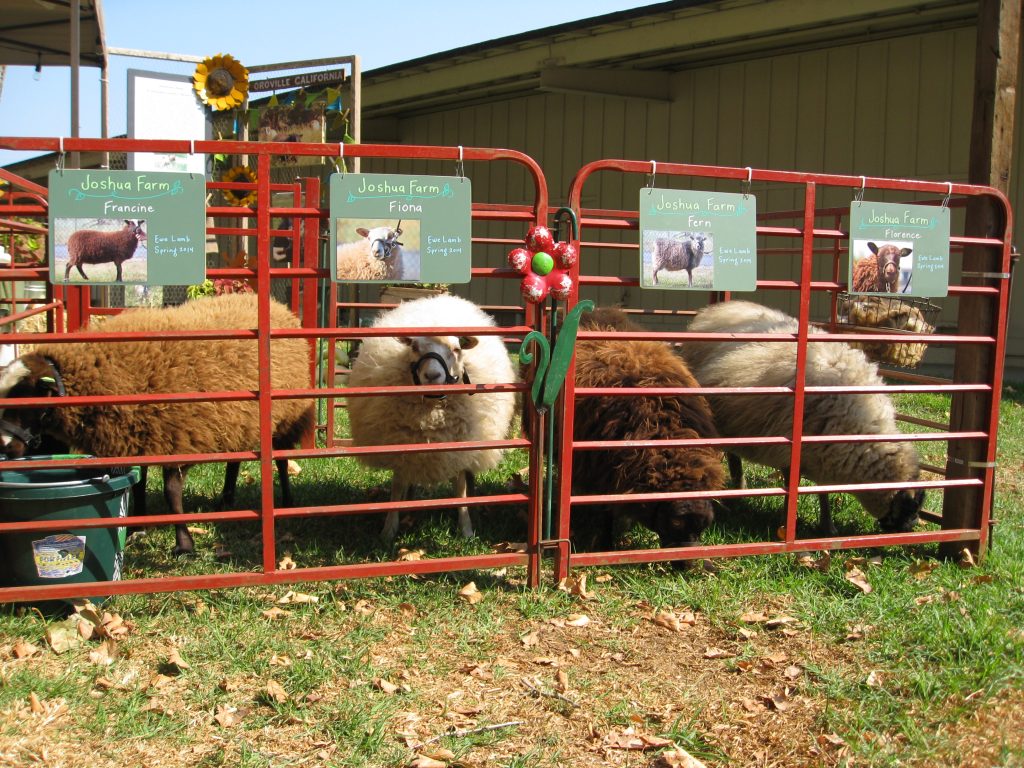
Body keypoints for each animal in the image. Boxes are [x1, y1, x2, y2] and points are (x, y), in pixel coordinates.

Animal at [0, 292, 313, 552]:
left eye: (26, 399)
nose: (5, 447)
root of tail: (274, 304)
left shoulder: (178, 436)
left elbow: (171, 493)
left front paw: (184, 545)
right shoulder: (143, 435)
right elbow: (138, 484)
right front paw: (137, 527)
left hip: (285, 415)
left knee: (281, 460)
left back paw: (287, 502)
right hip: (239, 418)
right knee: (235, 460)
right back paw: (226, 498)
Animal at [346, 292, 520, 540]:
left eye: (456, 349)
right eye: (414, 346)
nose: (432, 375)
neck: (432, 412)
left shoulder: (459, 448)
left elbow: (460, 488)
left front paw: (466, 528)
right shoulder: (400, 444)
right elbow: (397, 485)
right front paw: (389, 529)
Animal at [573, 309, 724, 561]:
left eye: (703, 527)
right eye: (674, 523)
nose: (688, 565)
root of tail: (596, 311)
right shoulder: (601, 472)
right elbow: (605, 510)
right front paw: (604, 545)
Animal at [679, 301, 929, 536]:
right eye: (912, 506)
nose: (912, 527)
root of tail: (720, 307)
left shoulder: (822, 454)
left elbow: (821, 491)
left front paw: (827, 527)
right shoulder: (791, 447)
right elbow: (793, 486)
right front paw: (787, 523)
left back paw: (739, 489)